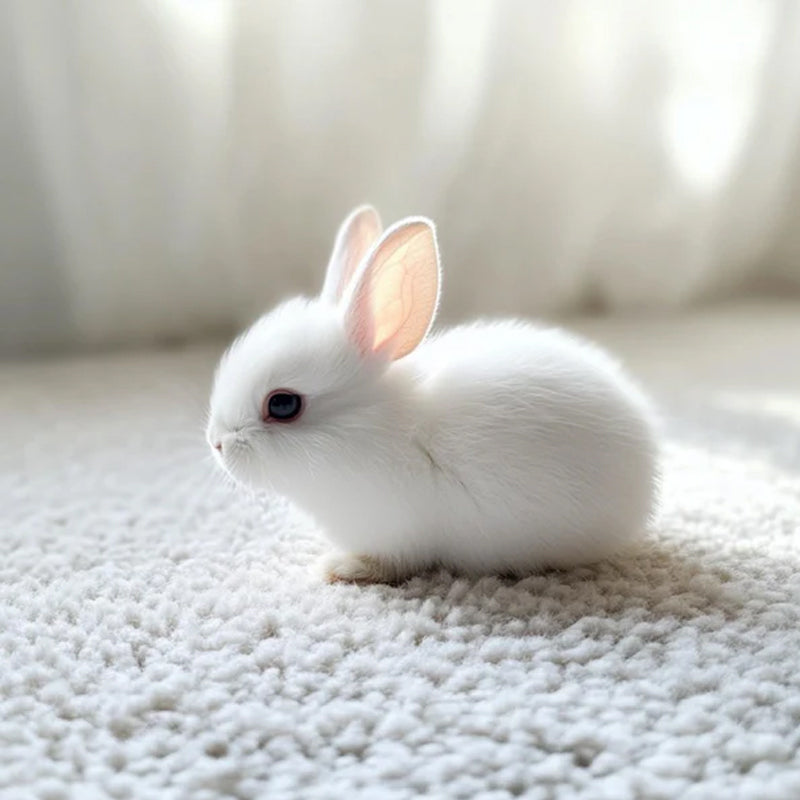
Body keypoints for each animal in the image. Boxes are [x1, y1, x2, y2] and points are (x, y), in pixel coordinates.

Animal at [207, 205, 660, 584]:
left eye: (283, 404)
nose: (216, 444)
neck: (372, 428)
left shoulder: (396, 534)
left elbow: (388, 564)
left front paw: (340, 568)